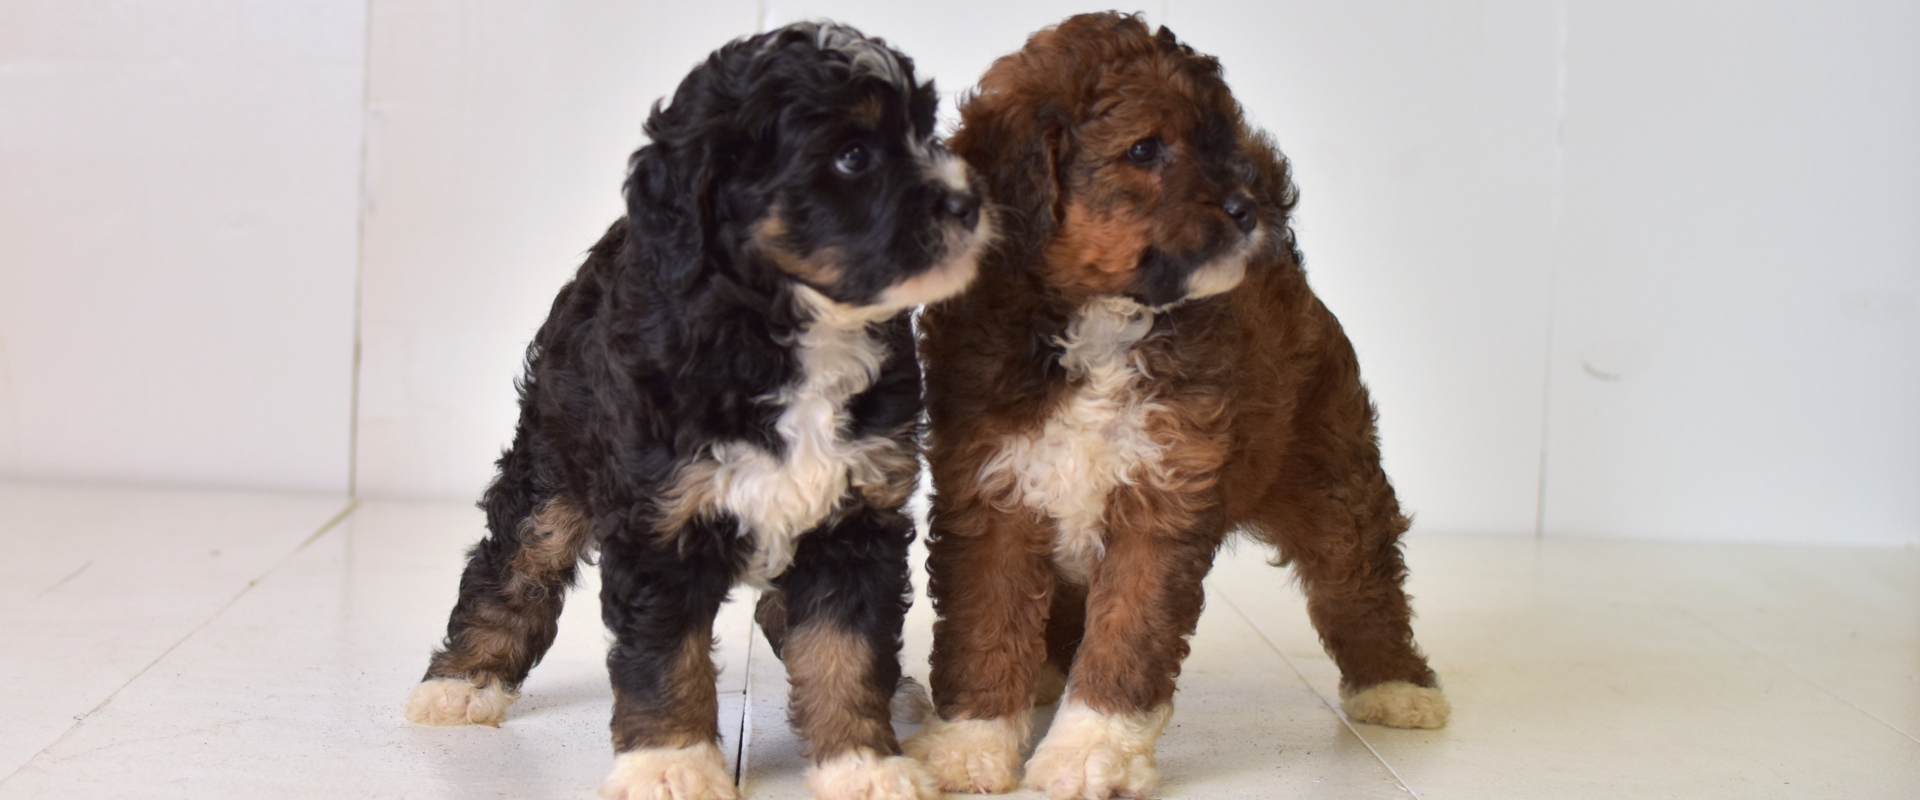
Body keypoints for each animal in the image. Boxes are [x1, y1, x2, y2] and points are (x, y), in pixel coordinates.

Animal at [397, 20, 983, 798]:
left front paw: (863, 763)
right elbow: (664, 655)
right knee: (515, 560)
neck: (790, 330)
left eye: (925, 133)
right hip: (555, 460)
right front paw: (669, 763)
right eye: (853, 155)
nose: (970, 204)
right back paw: (461, 684)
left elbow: (846, 650)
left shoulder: (856, 516)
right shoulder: (660, 520)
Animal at [906, 10, 1443, 798]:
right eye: (1144, 149)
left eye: (1220, 145)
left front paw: (1087, 750)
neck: (1099, 319)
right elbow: (985, 623)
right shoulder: (992, 490)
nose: (1247, 210)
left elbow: (1126, 636)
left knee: (1359, 575)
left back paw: (1396, 686)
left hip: (1329, 473)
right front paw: (968, 745)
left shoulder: (1160, 499)